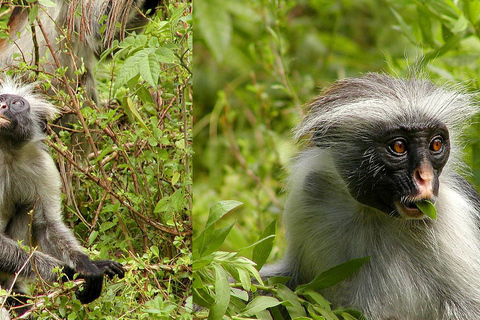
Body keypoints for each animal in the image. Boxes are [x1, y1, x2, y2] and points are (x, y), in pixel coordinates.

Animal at [0, 77, 124, 318]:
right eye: (1, 99)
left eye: (17, 103)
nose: (1, 106)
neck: (6, 152)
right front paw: (70, 273)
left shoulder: (42, 164)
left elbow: (46, 225)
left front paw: (86, 265)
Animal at [262, 74, 480, 320]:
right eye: (399, 146)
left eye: (436, 144)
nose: (425, 178)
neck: (372, 212)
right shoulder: (310, 190)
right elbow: (285, 281)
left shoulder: (452, 214)